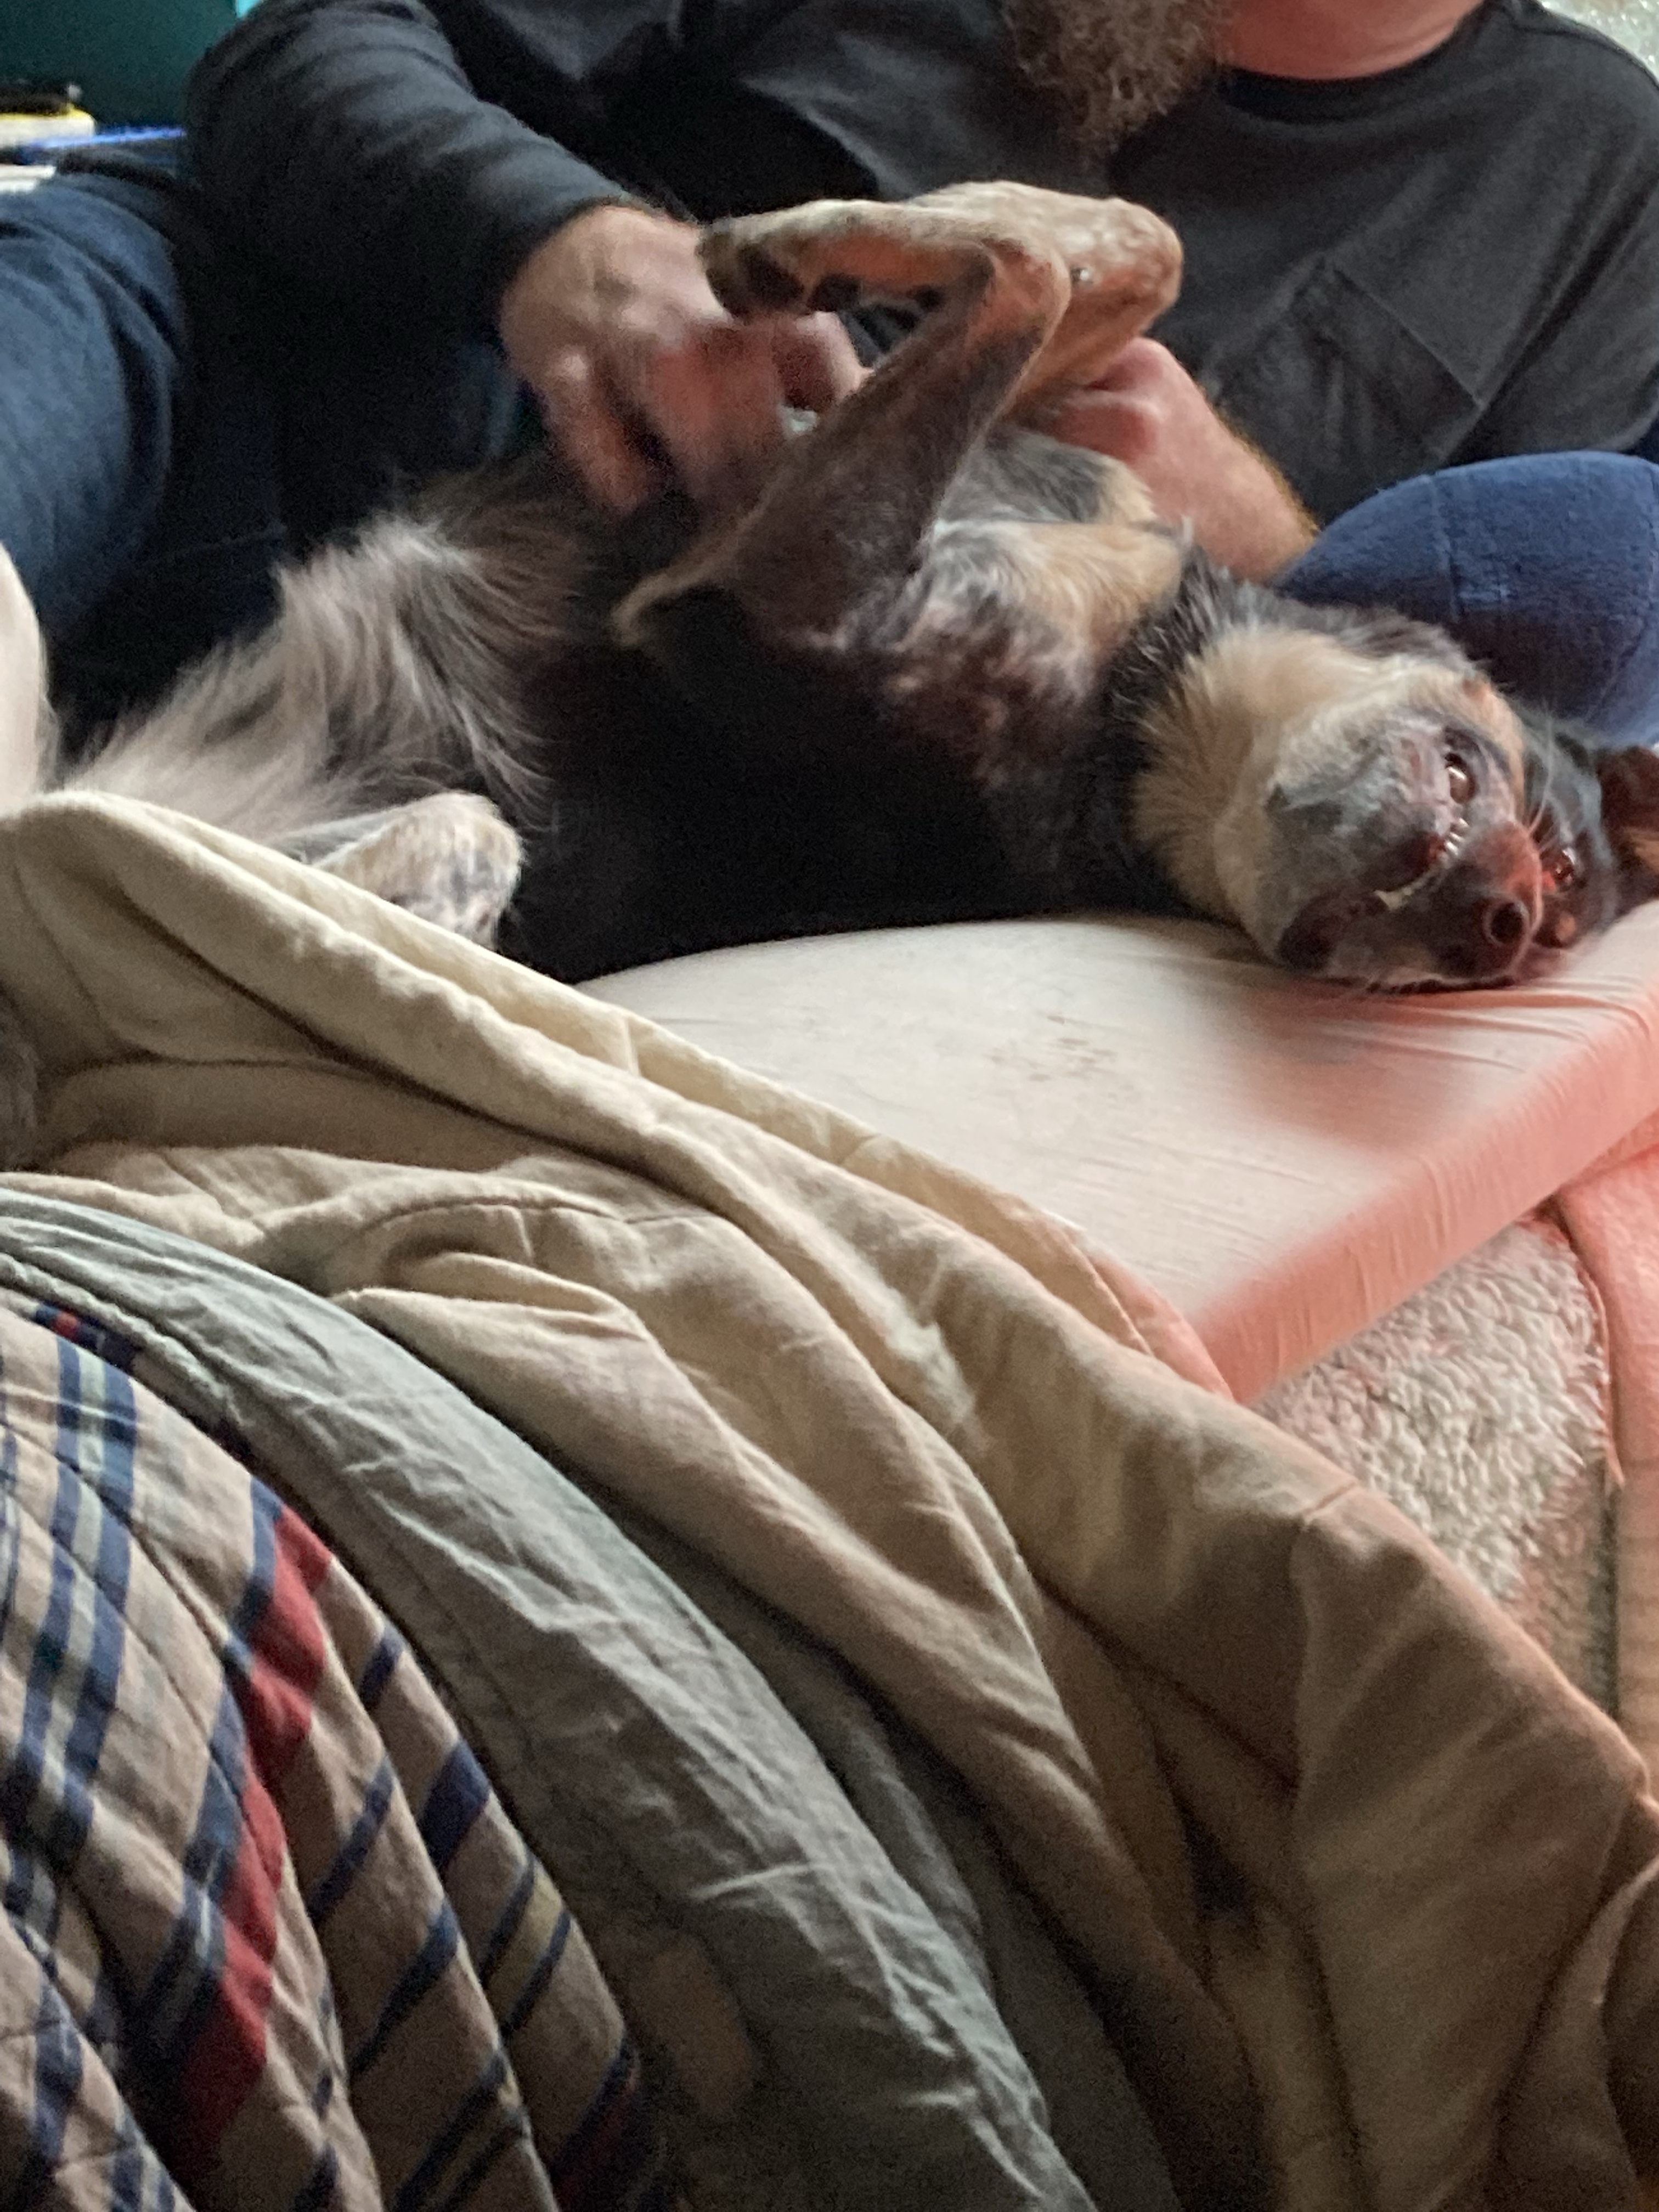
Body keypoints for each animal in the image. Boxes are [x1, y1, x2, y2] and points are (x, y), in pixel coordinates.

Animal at [34, 182, 1659, 991]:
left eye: (1534, 939)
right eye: (1551, 845)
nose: (1500, 917)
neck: (1149, 693)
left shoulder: (781, 592)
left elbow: (1025, 279)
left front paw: (791, 241)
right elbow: (1125, 256)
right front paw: (807, 244)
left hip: (366, 836)